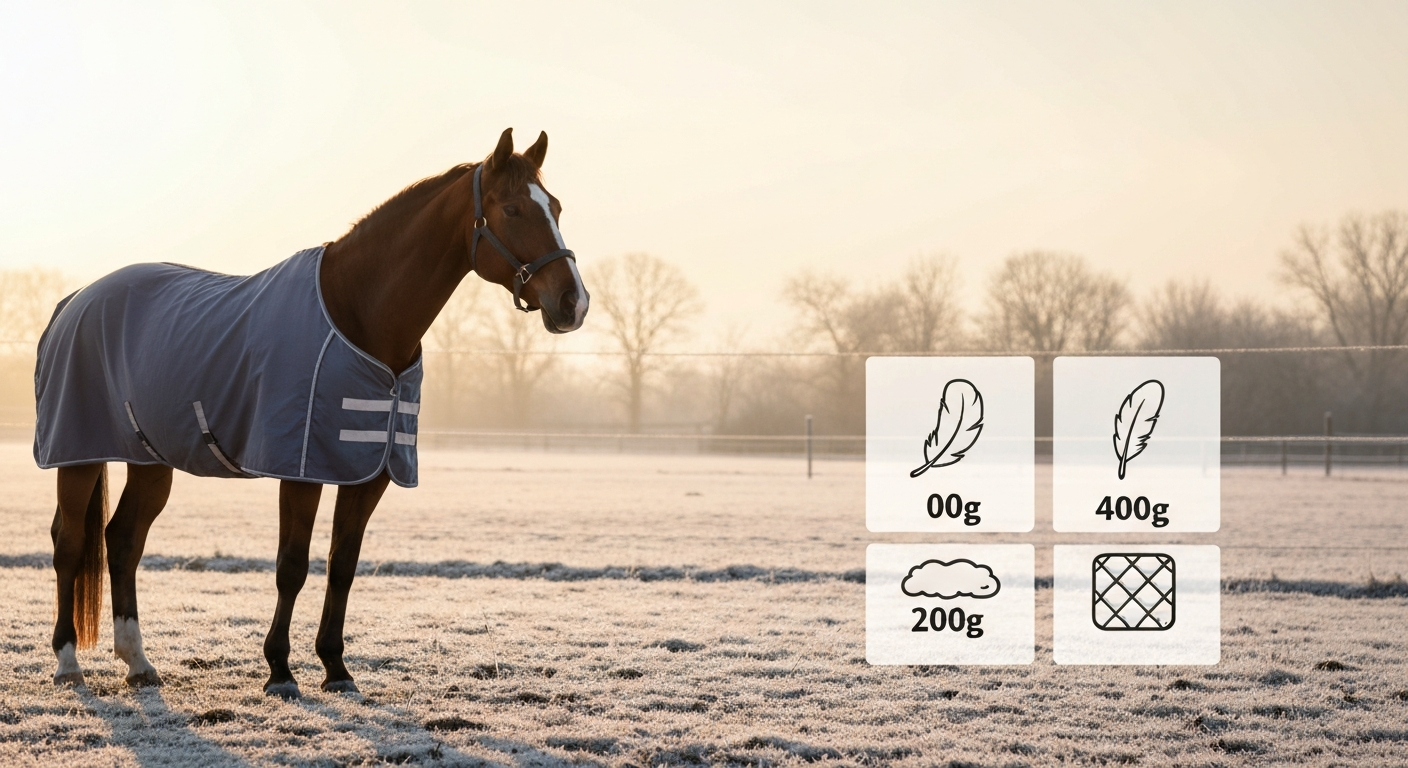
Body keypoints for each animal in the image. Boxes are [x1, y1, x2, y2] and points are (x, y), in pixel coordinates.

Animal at [34, 128, 587, 698]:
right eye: (513, 209)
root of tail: (74, 300)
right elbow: (292, 566)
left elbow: (342, 565)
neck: (358, 313)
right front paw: (280, 670)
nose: (573, 302)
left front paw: (336, 668)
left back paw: (138, 663)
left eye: (556, 207)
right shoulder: (301, 468)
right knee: (70, 543)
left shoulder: (368, 470)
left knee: (123, 541)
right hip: (77, 453)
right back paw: (68, 664)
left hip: (150, 460)